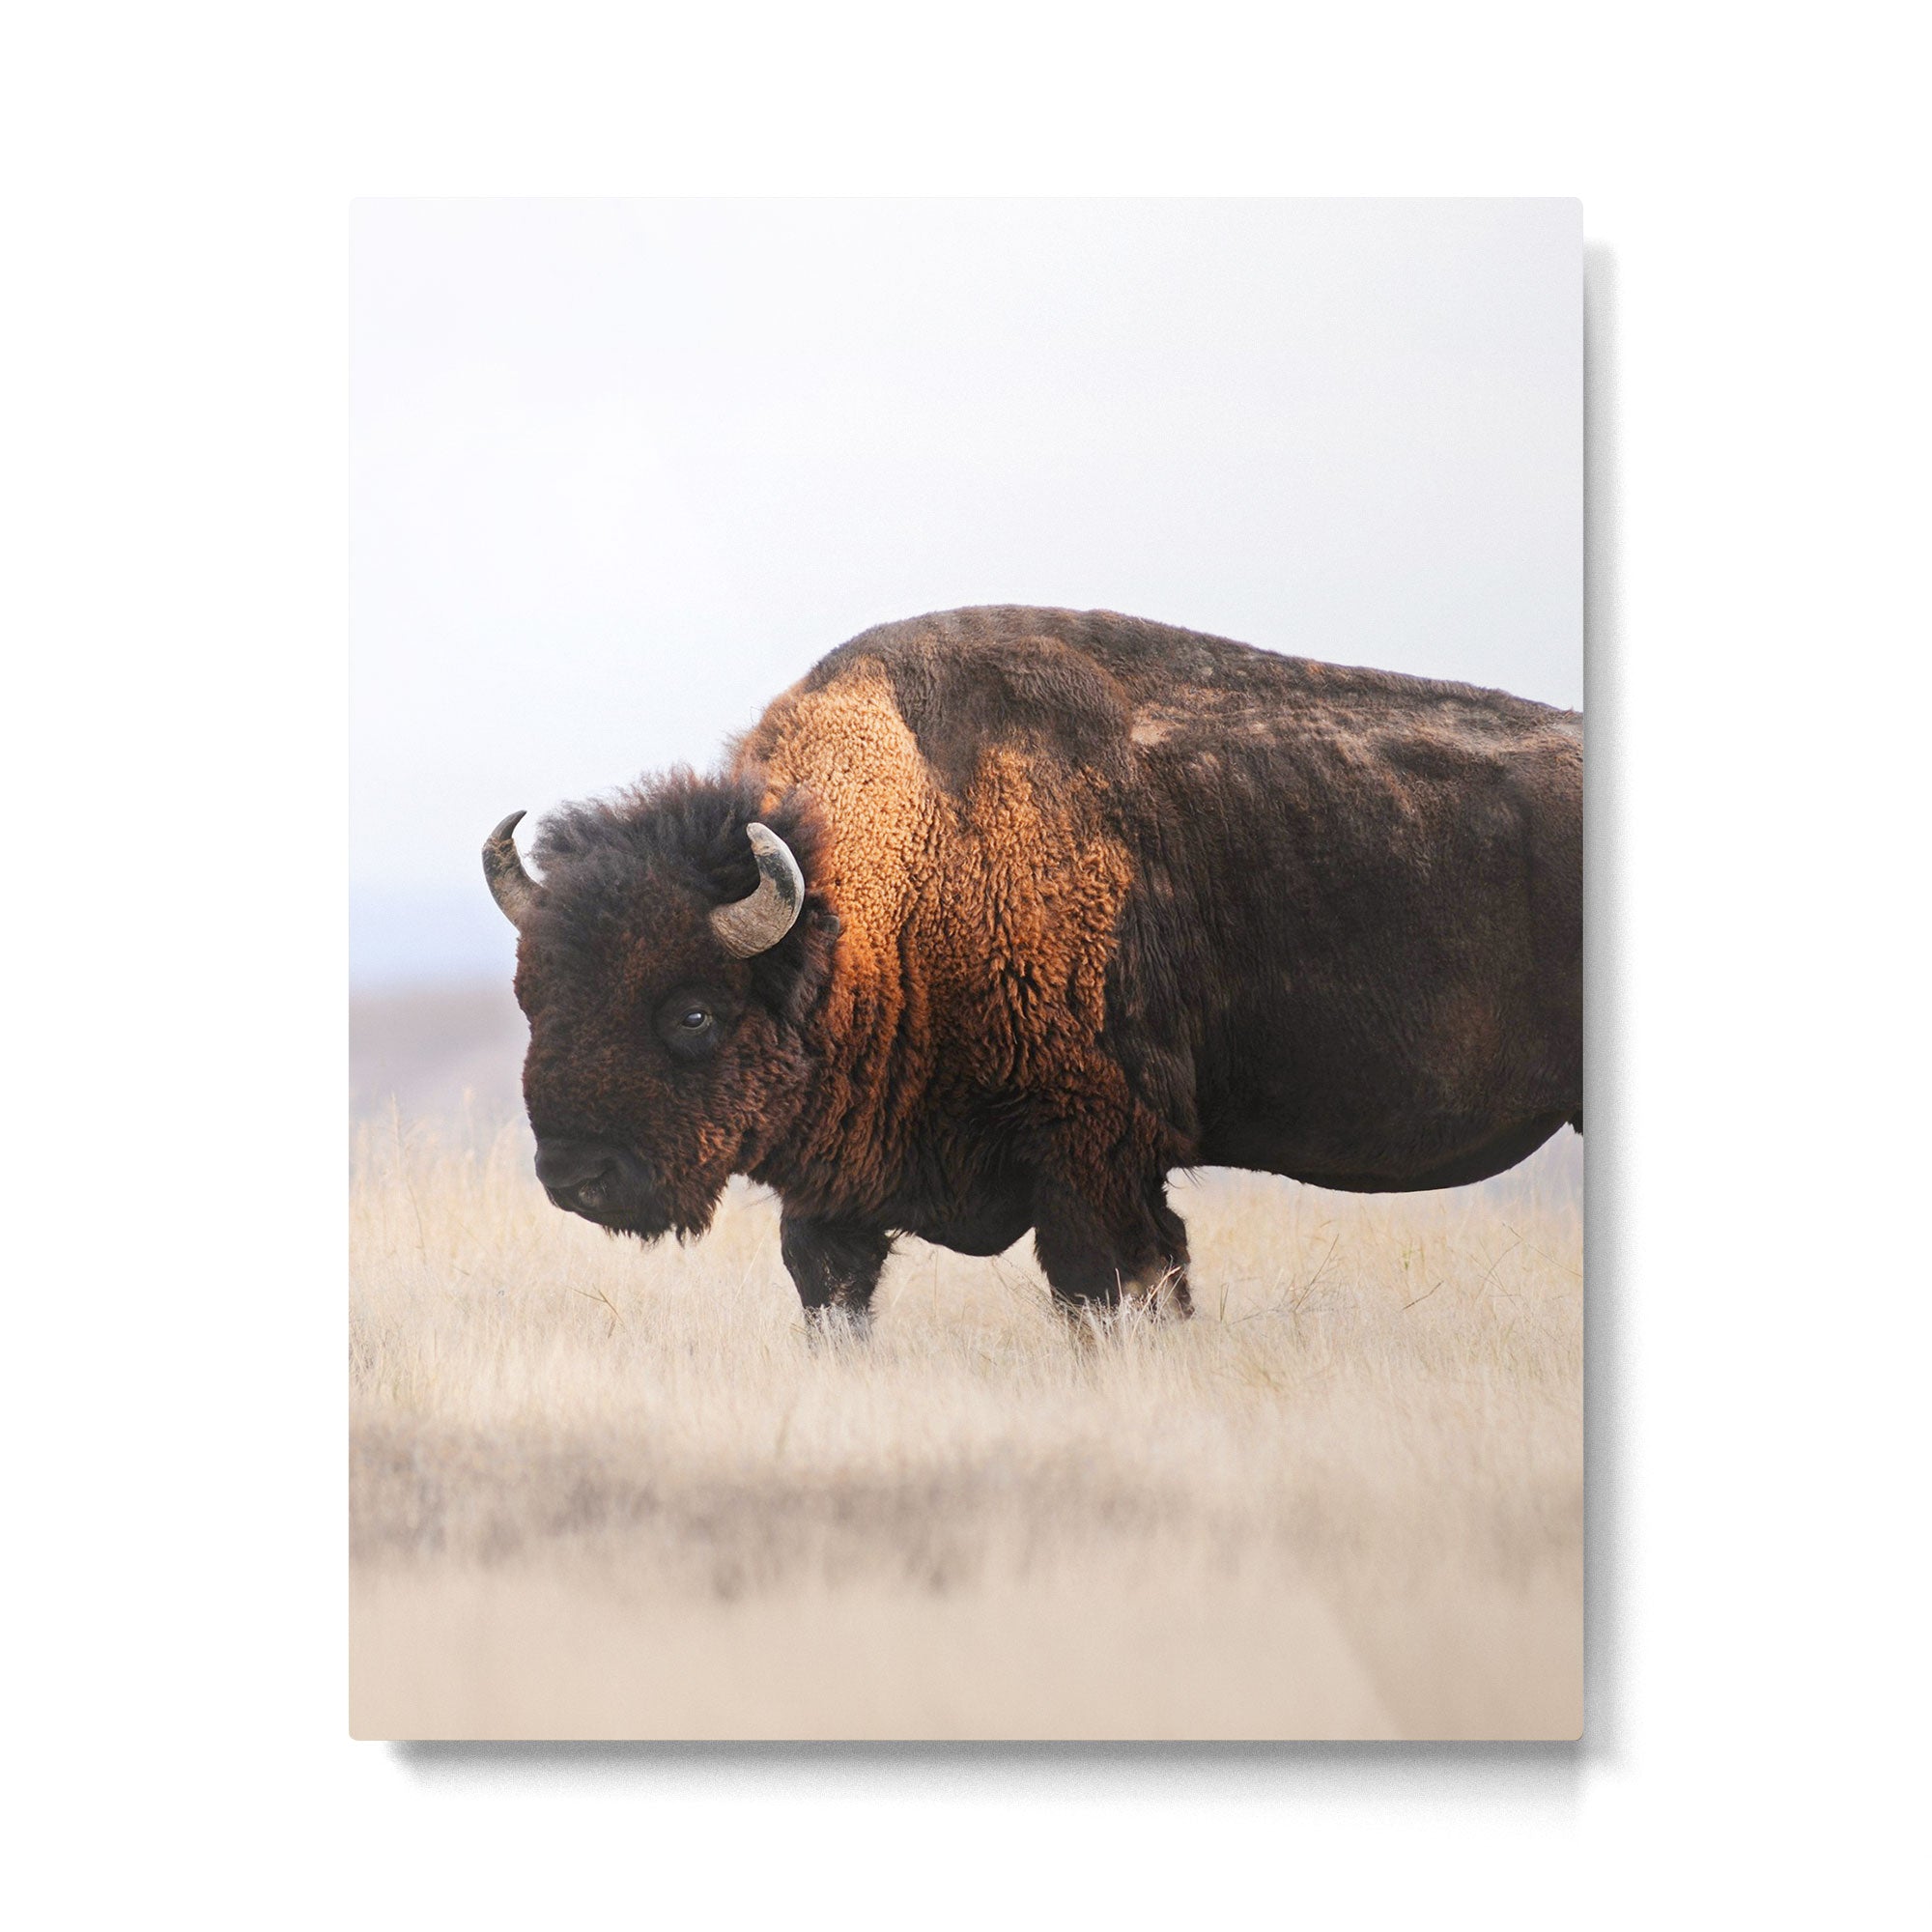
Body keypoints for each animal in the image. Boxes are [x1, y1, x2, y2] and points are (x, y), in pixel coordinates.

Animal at [484, 606, 1581, 1327]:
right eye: (531, 998)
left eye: (693, 1013)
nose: (577, 1175)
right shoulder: (837, 1183)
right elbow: (828, 1286)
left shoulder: (1095, 1154)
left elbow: (1114, 1285)